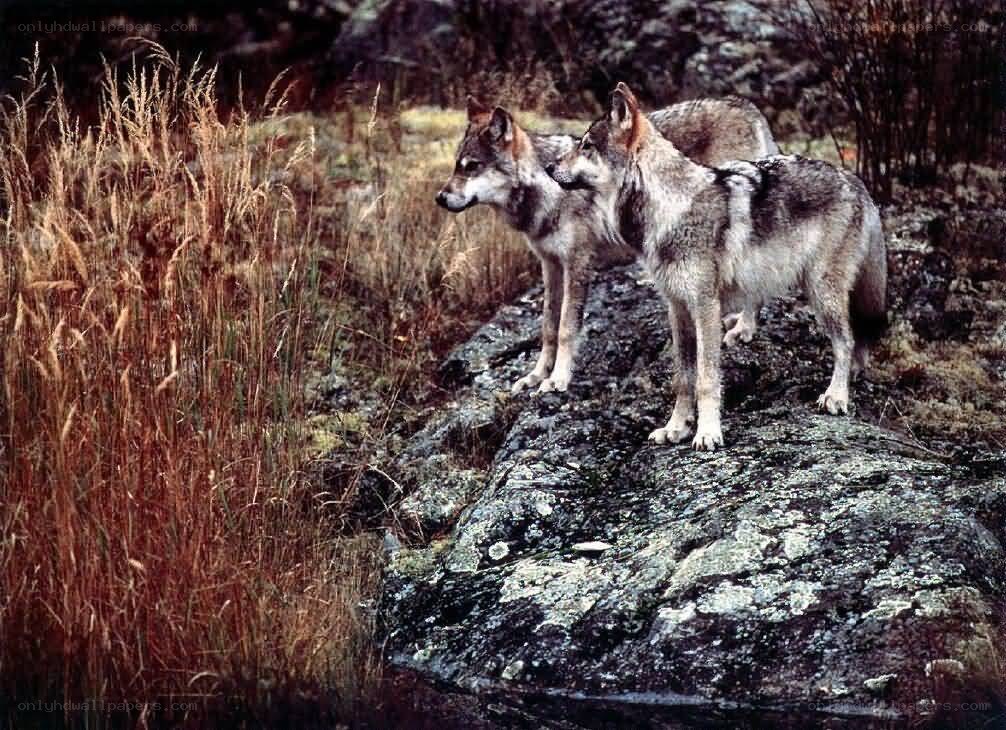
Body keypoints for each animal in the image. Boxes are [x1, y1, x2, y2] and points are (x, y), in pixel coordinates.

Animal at [436, 95, 778, 395]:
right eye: (456, 165)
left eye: (472, 166)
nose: (440, 198)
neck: (546, 191)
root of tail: (745, 105)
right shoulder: (550, 265)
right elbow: (547, 327)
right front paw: (535, 375)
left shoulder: (578, 264)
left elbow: (565, 328)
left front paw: (557, 379)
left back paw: (743, 329)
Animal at [549, 82, 887, 450]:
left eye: (586, 145)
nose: (549, 167)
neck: (670, 209)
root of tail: (855, 179)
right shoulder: (678, 309)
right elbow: (683, 379)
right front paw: (676, 427)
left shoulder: (705, 307)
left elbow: (707, 380)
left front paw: (707, 433)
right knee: (854, 338)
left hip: (821, 293)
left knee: (846, 340)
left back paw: (836, 396)